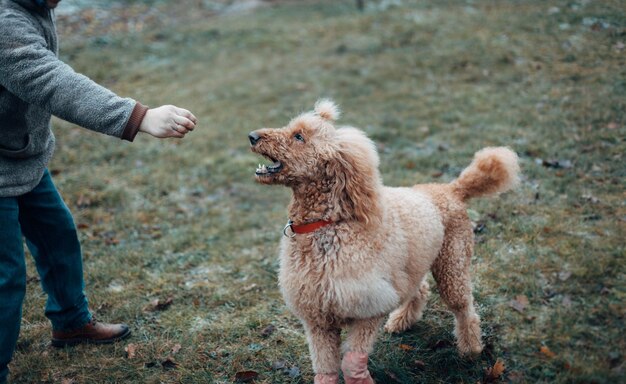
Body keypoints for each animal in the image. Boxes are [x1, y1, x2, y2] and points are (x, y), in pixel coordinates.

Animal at [247, 100, 516, 382]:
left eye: (299, 137)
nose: (252, 136)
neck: (329, 224)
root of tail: (451, 189)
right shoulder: (317, 317)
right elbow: (325, 368)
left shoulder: (368, 307)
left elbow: (352, 362)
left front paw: (360, 377)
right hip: (411, 264)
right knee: (419, 289)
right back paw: (402, 321)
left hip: (452, 264)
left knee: (464, 309)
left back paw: (470, 349)